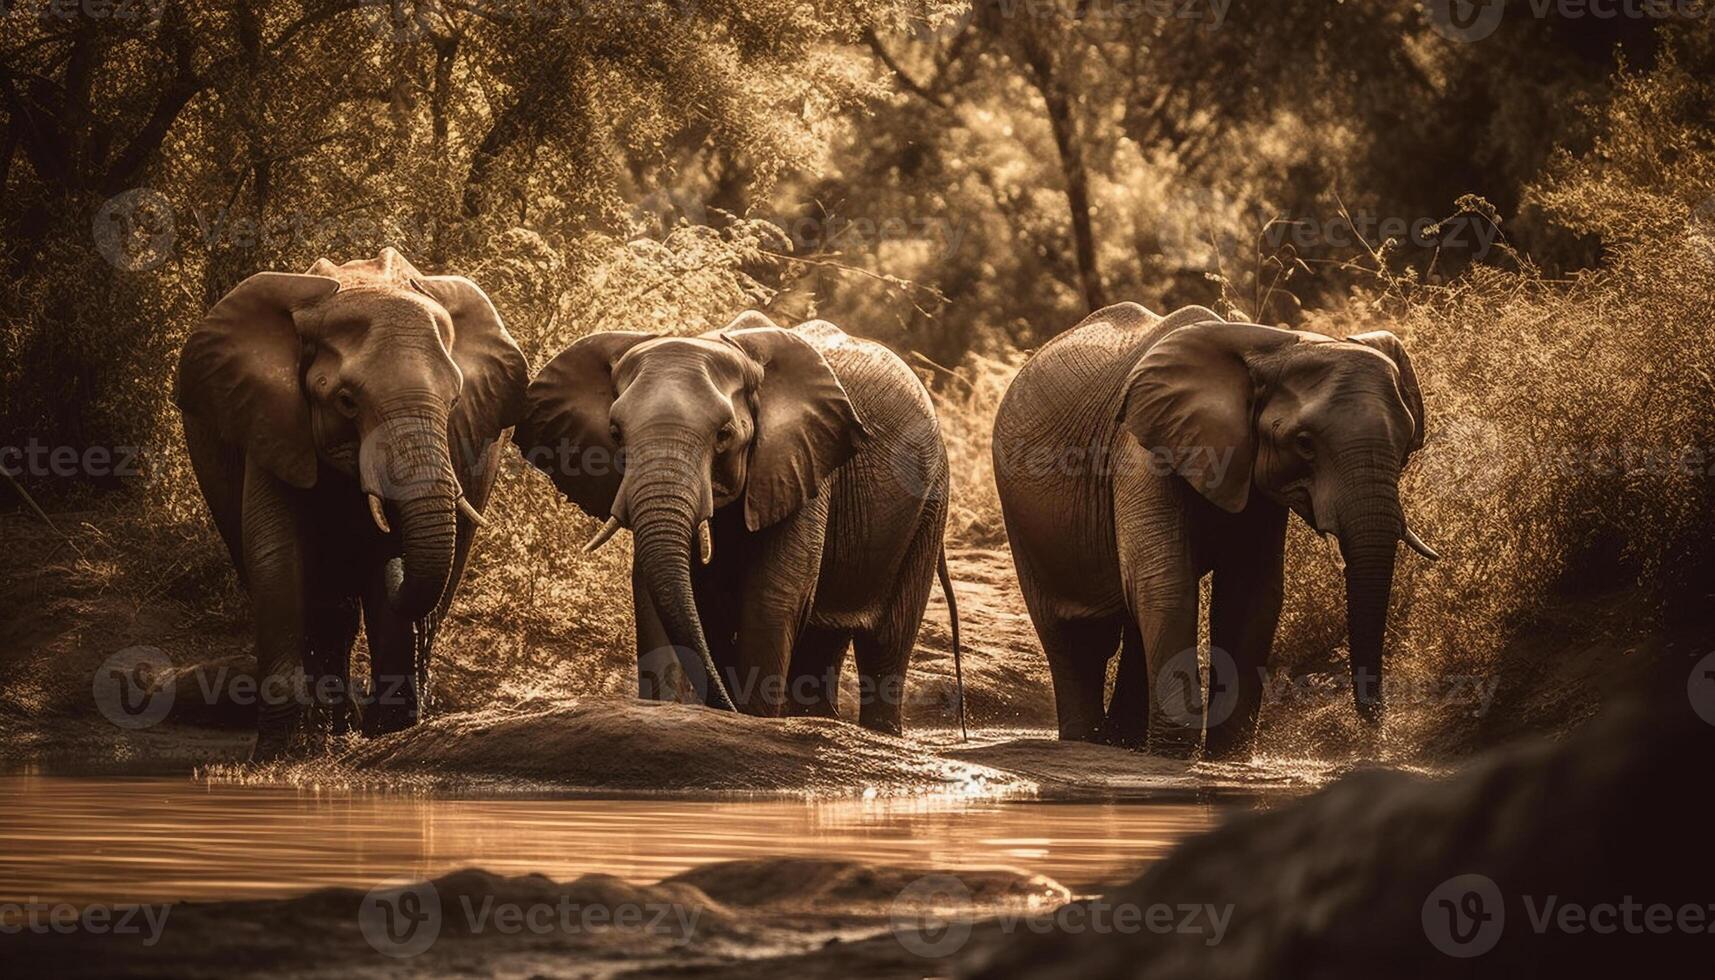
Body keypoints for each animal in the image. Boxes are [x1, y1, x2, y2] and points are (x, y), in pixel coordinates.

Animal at [173, 245, 524, 758]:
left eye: (454, 400)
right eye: (346, 401)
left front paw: (390, 734)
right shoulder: (272, 420)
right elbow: (275, 556)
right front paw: (281, 751)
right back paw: (331, 729)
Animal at [507, 314, 967, 734]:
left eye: (724, 434)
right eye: (616, 434)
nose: (720, 706)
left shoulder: (801, 465)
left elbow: (774, 595)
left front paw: (753, 720)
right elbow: (653, 592)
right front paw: (662, 713)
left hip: (930, 503)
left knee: (887, 638)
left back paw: (880, 730)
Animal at [994, 305, 1433, 758]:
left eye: (1406, 446)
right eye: (1304, 443)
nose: (1376, 730)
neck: (1275, 347)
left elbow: (1250, 594)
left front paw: (1228, 756)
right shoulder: (1142, 452)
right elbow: (1165, 583)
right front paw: (1175, 755)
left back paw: (1124, 743)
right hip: (1024, 521)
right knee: (1079, 637)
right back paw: (1091, 742)